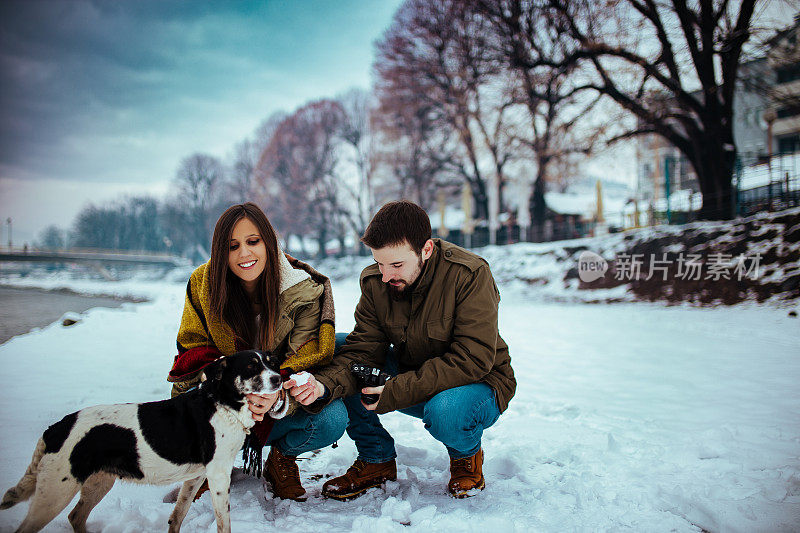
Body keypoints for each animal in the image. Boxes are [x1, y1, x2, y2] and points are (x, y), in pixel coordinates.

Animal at [0, 350, 288, 532]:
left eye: (271, 363)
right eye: (251, 367)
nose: (279, 379)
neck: (223, 403)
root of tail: (55, 429)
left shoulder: (196, 476)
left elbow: (178, 514)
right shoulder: (218, 473)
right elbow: (223, 521)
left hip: (98, 482)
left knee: (75, 515)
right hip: (55, 492)